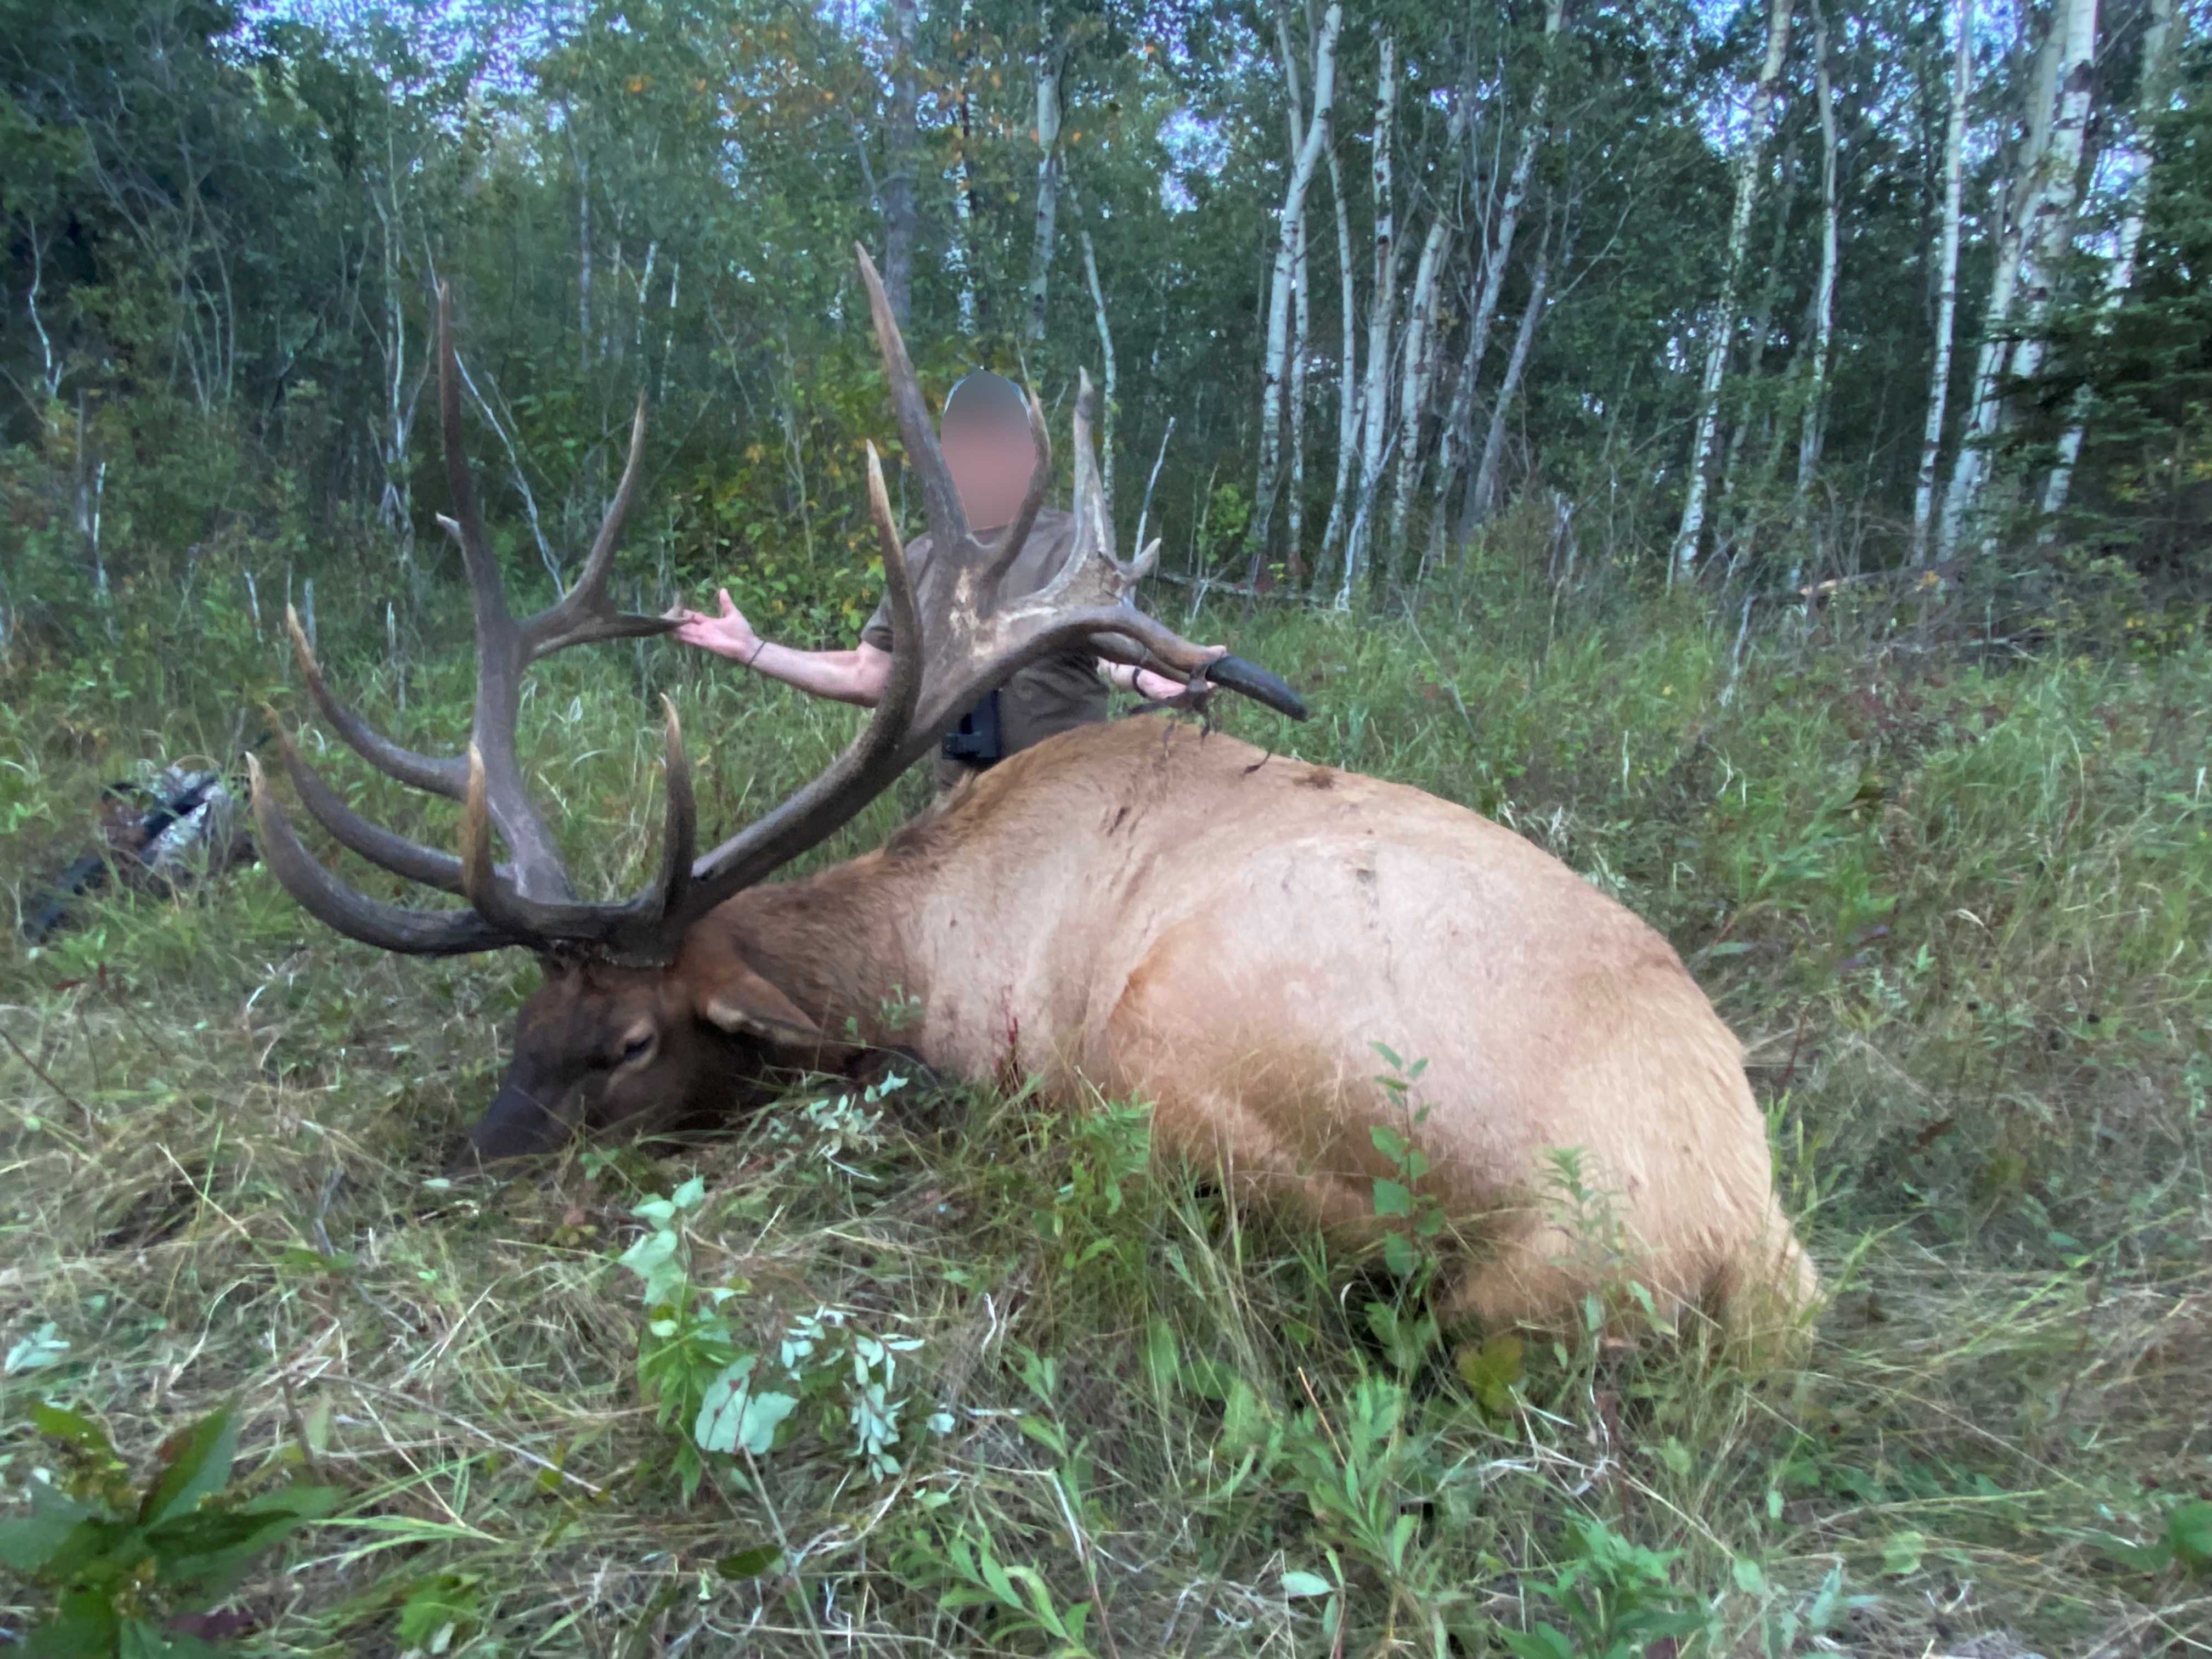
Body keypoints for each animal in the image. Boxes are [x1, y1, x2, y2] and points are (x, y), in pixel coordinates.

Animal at [248, 251, 1817, 1342]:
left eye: (629, 1045)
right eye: (522, 1022)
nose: (471, 1168)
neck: (916, 932)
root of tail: (1737, 1250)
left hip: (1193, 1046)